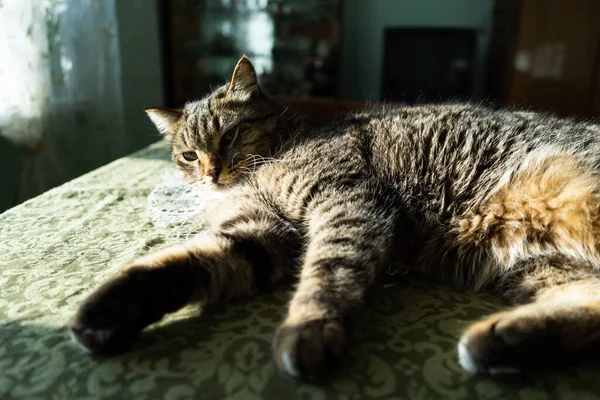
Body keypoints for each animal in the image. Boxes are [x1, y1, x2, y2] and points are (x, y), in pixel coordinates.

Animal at [71, 56, 600, 378]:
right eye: (187, 155)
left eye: (230, 135)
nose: (210, 171)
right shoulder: (258, 234)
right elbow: (183, 263)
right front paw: (108, 310)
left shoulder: (345, 201)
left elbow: (328, 271)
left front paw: (309, 328)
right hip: (540, 266)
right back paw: (504, 341)